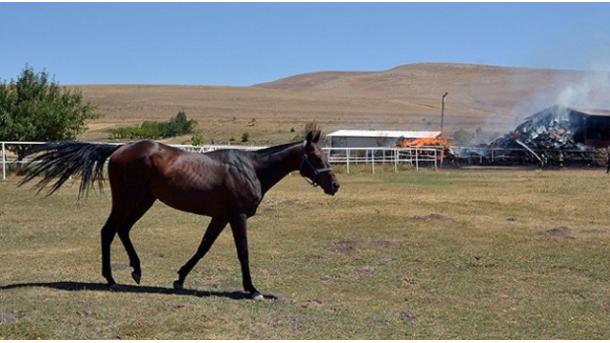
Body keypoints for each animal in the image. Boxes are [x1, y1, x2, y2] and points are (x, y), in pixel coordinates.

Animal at [19, 130, 340, 300]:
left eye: (326, 155)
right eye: (315, 157)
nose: (335, 185)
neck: (251, 168)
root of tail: (119, 148)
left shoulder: (220, 217)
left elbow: (203, 247)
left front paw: (179, 279)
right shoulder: (237, 216)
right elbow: (243, 252)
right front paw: (253, 290)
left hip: (144, 200)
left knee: (122, 230)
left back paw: (136, 270)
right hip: (128, 199)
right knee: (109, 230)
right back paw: (111, 279)